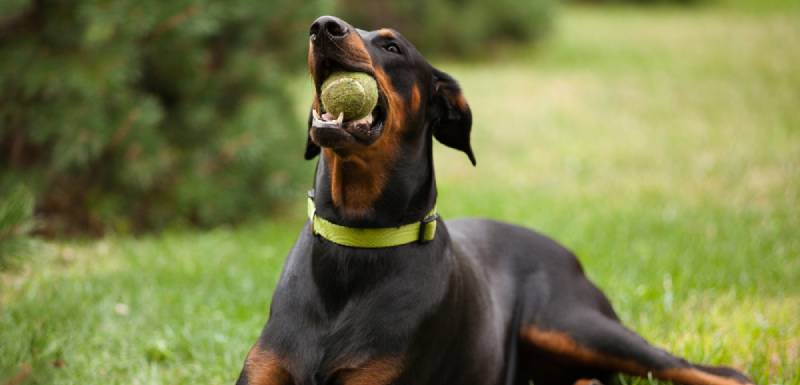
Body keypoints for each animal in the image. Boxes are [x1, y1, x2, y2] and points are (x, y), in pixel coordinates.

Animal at [234, 16, 752, 384]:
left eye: (392, 46)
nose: (323, 26)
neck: (354, 244)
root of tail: (567, 253)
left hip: (571, 321)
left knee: (709, 371)